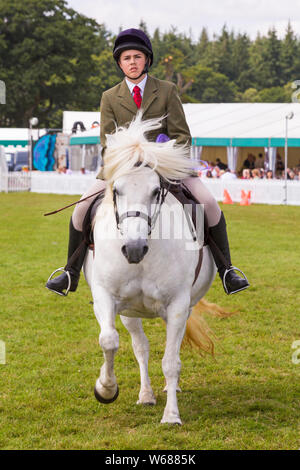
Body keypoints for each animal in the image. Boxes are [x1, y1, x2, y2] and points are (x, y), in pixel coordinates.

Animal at [84, 114, 220, 426]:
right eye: (116, 190)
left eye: (156, 191)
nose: (133, 249)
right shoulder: (105, 296)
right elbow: (109, 341)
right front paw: (105, 389)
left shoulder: (179, 304)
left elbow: (170, 361)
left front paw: (171, 415)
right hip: (130, 312)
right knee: (140, 347)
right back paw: (146, 395)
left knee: (171, 351)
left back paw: (171, 389)